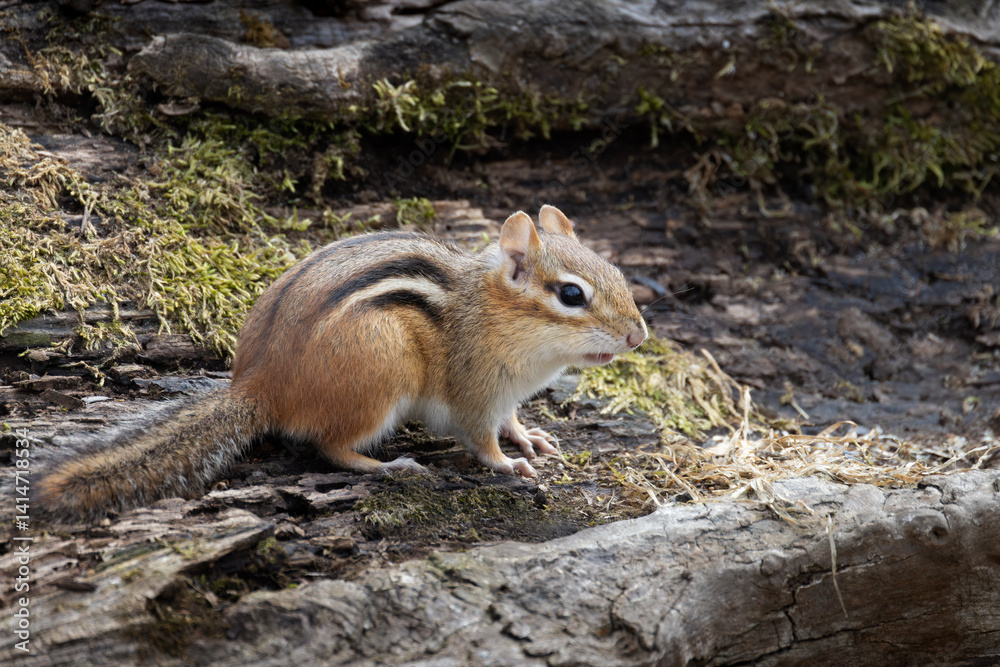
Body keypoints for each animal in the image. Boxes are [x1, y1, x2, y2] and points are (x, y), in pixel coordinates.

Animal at [36, 205, 647, 520]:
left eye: (617, 272)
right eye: (571, 295)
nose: (639, 335)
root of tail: (259, 386)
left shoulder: (505, 396)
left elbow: (512, 420)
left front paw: (530, 437)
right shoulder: (475, 390)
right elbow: (480, 440)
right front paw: (509, 465)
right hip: (383, 373)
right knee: (330, 446)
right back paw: (391, 466)